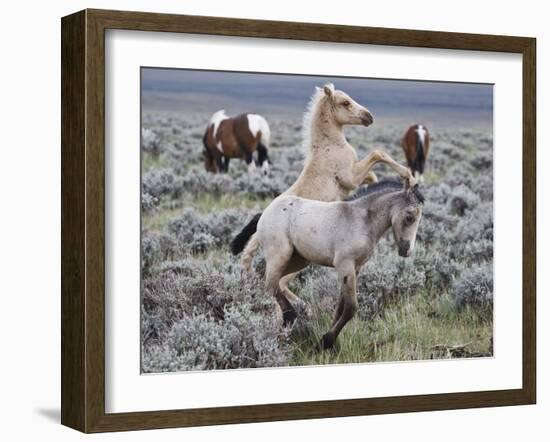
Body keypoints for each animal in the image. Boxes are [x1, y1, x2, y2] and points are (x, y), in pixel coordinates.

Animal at [231, 83, 416, 318]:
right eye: (345, 102)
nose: (369, 117)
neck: (329, 146)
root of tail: (260, 224)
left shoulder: (353, 178)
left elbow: (372, 174)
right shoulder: (350, 176)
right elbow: (377, 153)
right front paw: (408, 176)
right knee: (277, 284)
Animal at [258, 180, 426, 348]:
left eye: (419, 219)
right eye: (409, 217)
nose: (407, 251)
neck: (362, 221)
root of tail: (267, 210)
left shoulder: (355, 268)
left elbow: (340, 307)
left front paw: (328, 341)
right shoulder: (345, 266)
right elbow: (351, 307)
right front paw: (326, 341)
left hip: (298, 260)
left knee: (275, 283)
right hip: (280, 256)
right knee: (270, 286)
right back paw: (289, 317)